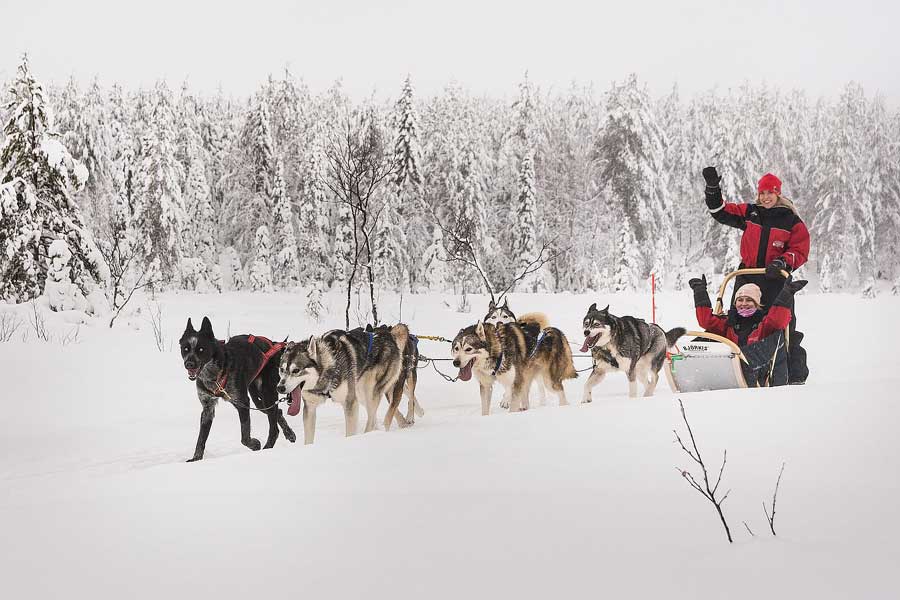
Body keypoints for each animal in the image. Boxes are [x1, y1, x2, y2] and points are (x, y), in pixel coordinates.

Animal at [179, 316, 296, 462]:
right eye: (186, 349)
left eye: (201, 349)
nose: (189, 364)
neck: (215, 373)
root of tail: (273, 345)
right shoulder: (208, 408)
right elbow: (201, 439)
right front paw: (196, 459)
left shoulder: (242, 402)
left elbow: (245, 437)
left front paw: (255, 444)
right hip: (258, 400)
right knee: (277, 412)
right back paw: (289, 434)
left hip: (267, 394)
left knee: (274, 427)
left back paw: (267, 447)